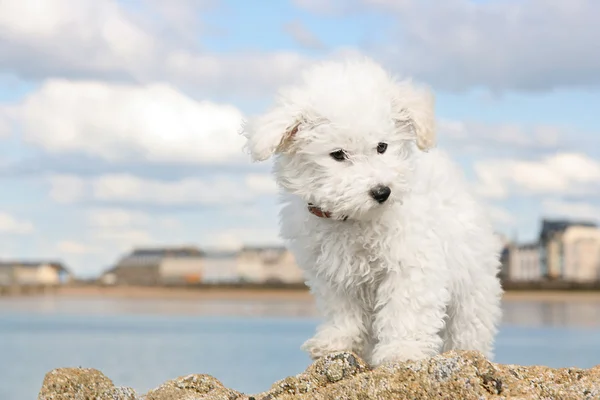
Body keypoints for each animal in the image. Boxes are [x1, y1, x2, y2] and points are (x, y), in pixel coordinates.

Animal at [240, 57, 502, 368]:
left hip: (472, 284)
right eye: (338, 155)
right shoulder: (333, 274)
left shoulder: (411, 263)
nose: (382, 191)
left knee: (468, 326)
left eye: (382, 147)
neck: (354, 218)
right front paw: (337, 341)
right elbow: (342, 311)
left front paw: (401, 350)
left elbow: (407, 309)